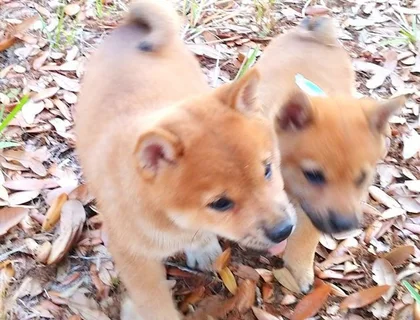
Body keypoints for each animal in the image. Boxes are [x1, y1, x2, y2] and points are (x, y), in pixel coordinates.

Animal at [74, 0, 296, 320]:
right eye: (220, 203)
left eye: (267, 170)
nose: (284, 230)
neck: (172, 222)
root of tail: (128, 28)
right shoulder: (133, 255)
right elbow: (154, 304)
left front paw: (202, 246)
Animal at [254, 16, 406, 292]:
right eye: (313, 175)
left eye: (361, 179)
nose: (346, 226)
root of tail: (315, 34)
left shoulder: (311, 213)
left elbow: (306, 234)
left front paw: (299, 267)